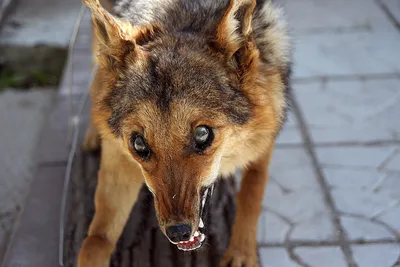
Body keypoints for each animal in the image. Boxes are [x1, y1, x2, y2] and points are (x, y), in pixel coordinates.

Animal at [78, 0, 290, 266]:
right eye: (139, 144)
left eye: (202, 134)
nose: (178, 233)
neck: (182, 16)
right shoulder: (118, 160)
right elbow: (95, 242)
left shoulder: (264, 140)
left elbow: (252, 192)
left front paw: (241, 254)